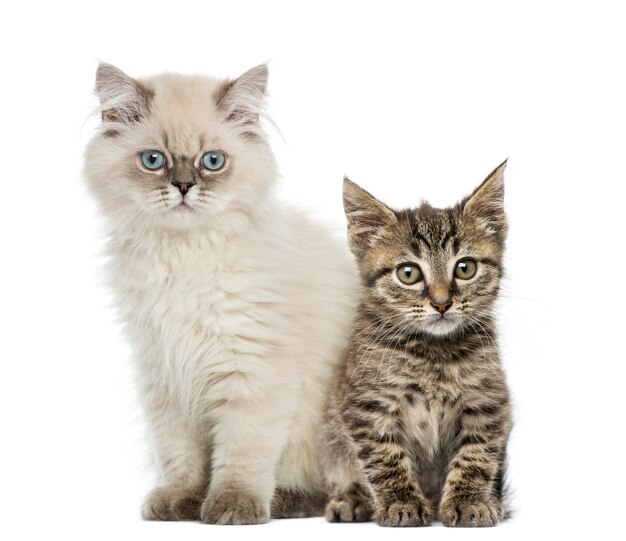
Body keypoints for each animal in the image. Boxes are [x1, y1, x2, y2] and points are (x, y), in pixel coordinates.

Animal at [322, 161, 512, 528]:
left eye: (465, 268)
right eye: (408, 273)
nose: (441, 303)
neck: (433, 353)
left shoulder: (487, 401)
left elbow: (476, 455)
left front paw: (469, 501)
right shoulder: (368, 406)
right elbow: (385, 459)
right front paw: (401, 503)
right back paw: (351, 500)